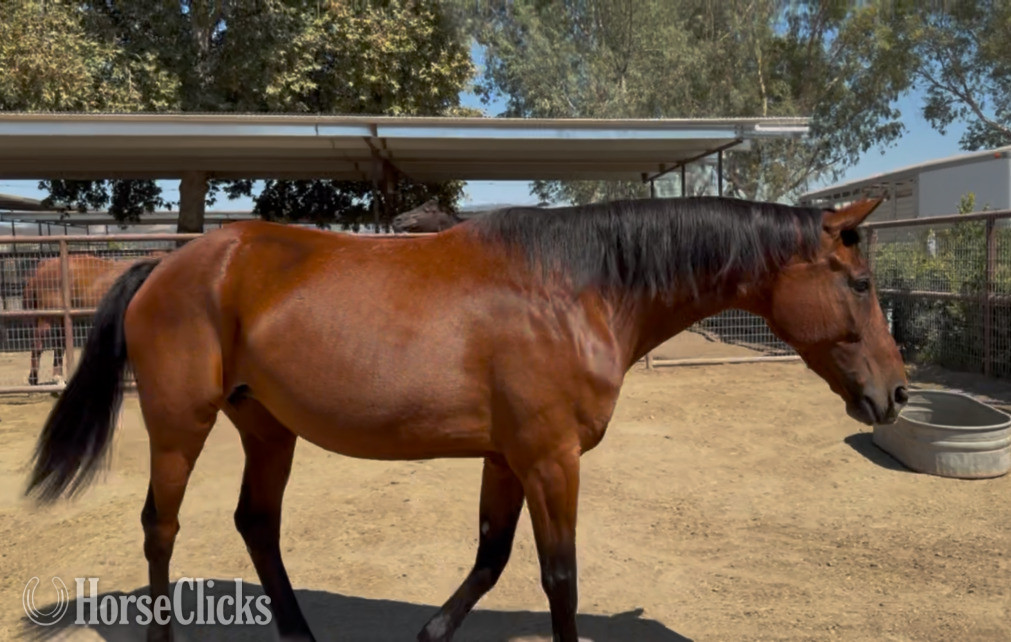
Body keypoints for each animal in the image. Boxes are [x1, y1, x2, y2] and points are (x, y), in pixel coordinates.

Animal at [22, 251, 167, 386]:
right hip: (46, 317)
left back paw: (58, 379)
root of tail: (42, 267)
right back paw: (34, 379)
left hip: (61, 318)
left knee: (59, 344)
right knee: (38, 345)